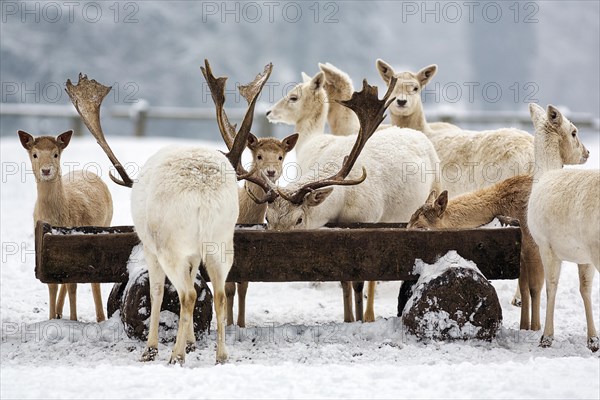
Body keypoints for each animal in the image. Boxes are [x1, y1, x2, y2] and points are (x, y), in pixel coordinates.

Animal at [18, 130, 112, 324]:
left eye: (56, 154)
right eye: (35, 154)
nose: (46, 170)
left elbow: (73, 285)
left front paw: (74, 320)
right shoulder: (44, 249)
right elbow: (52, 284)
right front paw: (52, 318)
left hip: (106, 224)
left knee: (92, 279)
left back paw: (100, 317)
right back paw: (60, 312)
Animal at [66, 61, 278, 364]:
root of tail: (203, 190)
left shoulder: (152, 248)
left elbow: (156, 293)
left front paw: (153, 348)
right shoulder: (194, 254)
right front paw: (190, 342)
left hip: (170, 243)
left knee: (187, 294)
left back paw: (174, 356)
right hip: (222, 240)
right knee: (219, 294)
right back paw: (221, 355)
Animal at [268, 77, 440, 322]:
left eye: (299, 219)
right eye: (268, 219)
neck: (341, 204)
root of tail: (417, 133)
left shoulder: (365, 221)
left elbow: (359, 279)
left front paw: (357, 318)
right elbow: (343, 279)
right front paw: (348, 316)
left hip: (435, 186)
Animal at [528, 102, 596, 350]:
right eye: (574, 132)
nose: (587, 153)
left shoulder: (545, 243)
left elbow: (551, 286)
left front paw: (546, 337)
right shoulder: (579, 253)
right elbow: (583, 289)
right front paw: (593, 339)